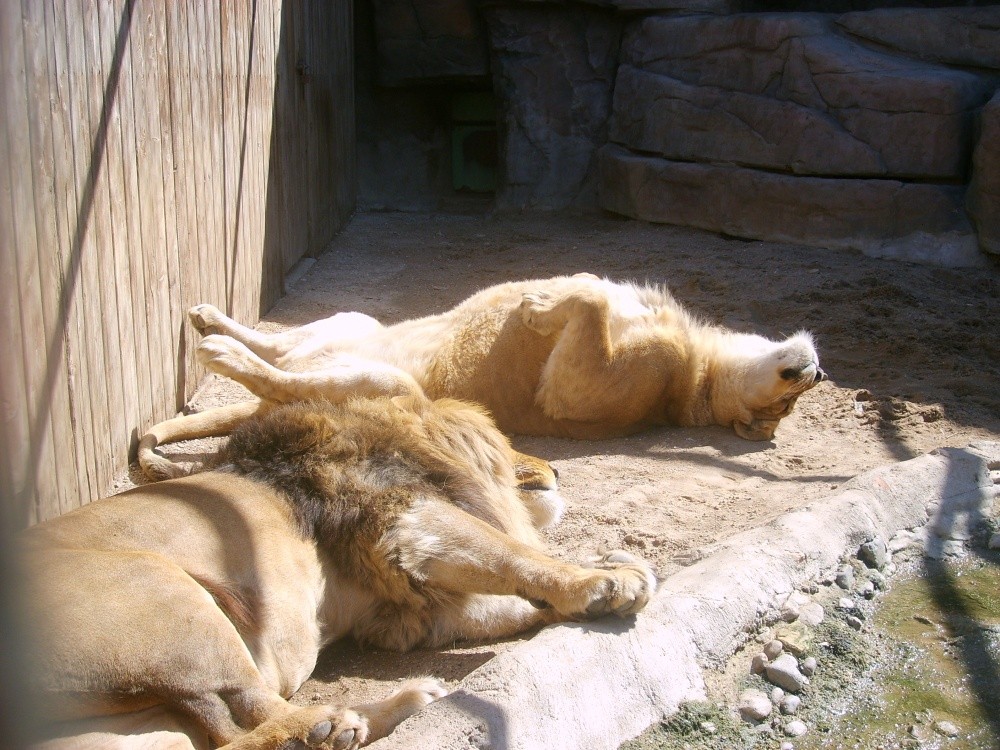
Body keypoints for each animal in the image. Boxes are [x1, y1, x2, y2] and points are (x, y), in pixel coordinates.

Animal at [17, 395, 656, 750]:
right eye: (508, 442)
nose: (556, 469)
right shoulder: (402, 518)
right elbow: (507, 553)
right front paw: (606, 582)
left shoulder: (401, 608)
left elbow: (509, 600)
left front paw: (589, 582)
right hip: (171, 601)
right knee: (252, 717)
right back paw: (332, 727)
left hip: (143, 719)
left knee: (226, 734)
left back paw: (381, 712)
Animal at [139, 273, 825, 480]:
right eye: (790, 397)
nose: (816, 372)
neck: (702, 365)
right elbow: (597, 290)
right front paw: (548, 294)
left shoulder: (577, 390)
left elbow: (588, 303)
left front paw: (539, 306)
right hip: (350, 320)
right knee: (279, 348)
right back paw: (209, 319)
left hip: (389, 386)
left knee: (279, 379)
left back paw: (222, 353)